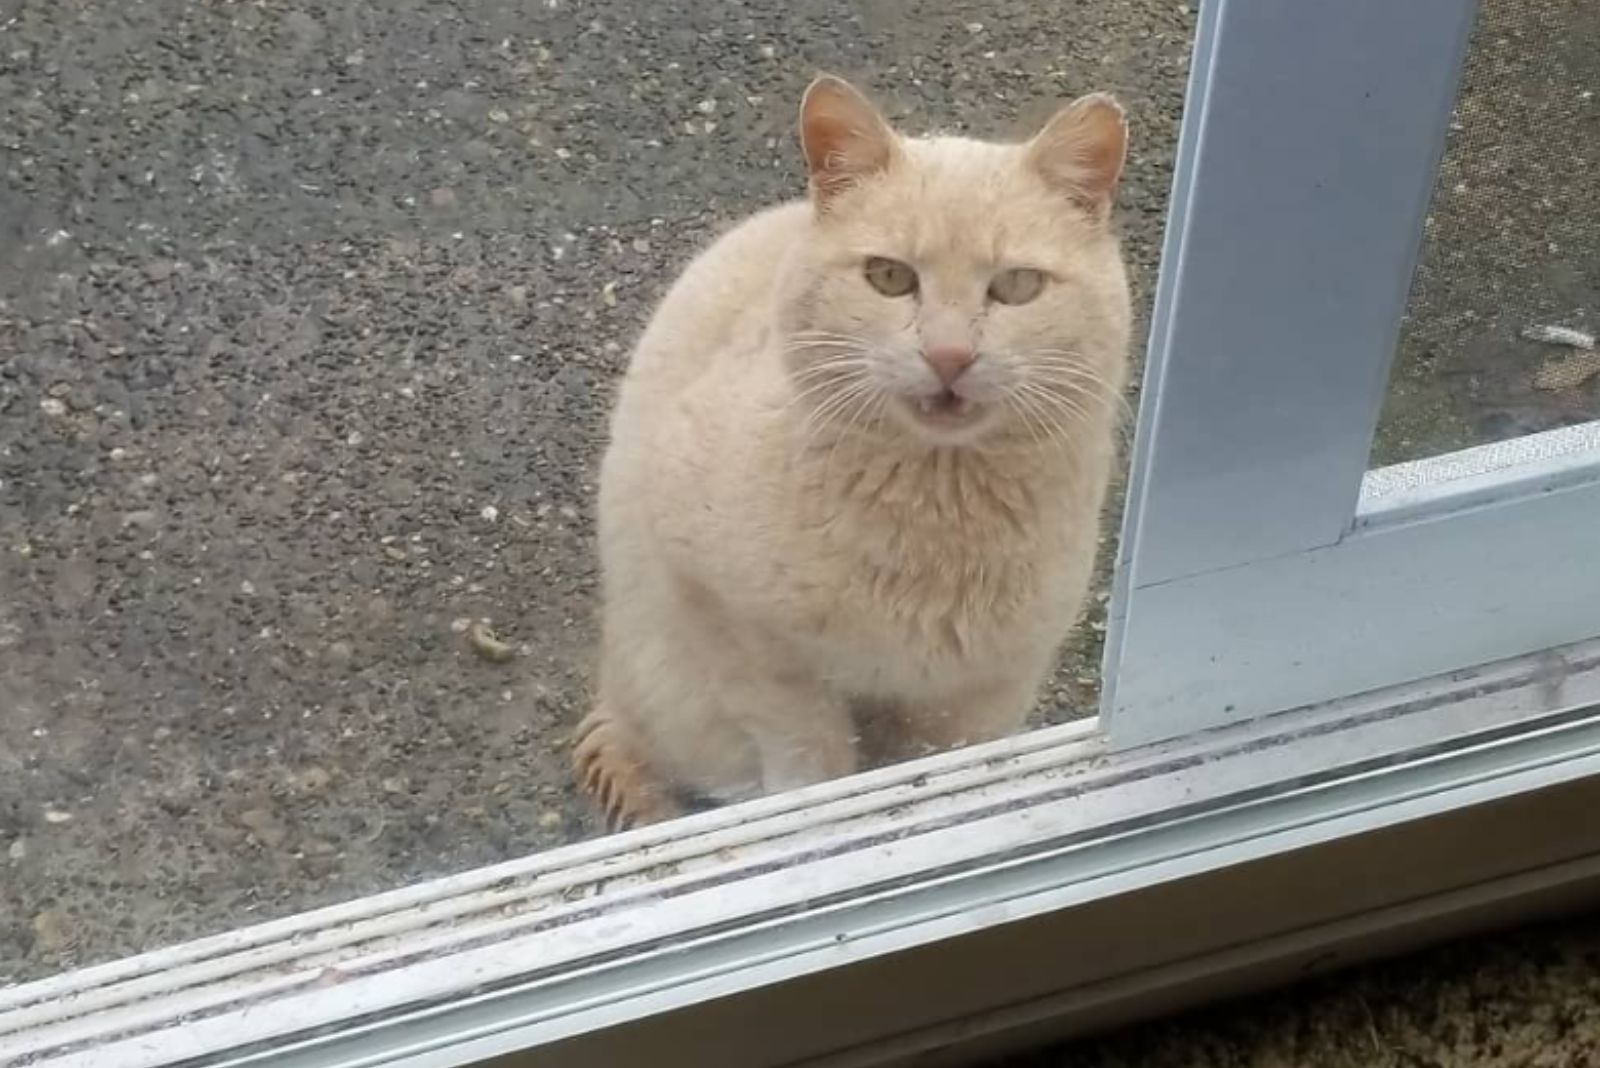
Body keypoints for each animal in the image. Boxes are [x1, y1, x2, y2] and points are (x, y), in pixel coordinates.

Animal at [569, 75, 1132, 831]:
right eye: (889, 277)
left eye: (1017, 286)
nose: (949, 355)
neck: (936, 521)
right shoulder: (736, 626)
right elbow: (809, 759)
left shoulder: (987, 691)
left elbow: (943, 772)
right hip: (675, 698)